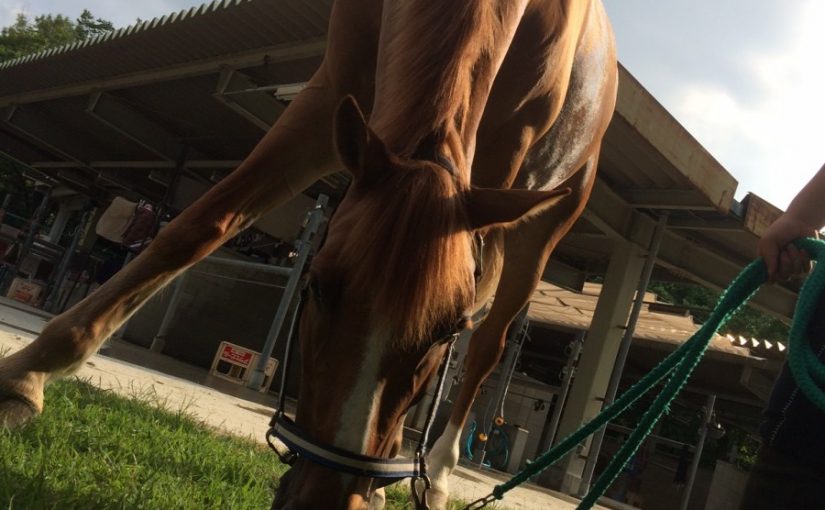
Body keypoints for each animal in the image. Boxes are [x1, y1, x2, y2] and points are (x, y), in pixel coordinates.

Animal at [0, 0, 617, 508]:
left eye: (445, 330)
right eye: (316, 287)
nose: (329, 499)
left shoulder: (495, 167)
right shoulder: (332, 96)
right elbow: (200, 225)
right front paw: (28, 377)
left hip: (541, 227)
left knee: (489, 345)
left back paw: (437, 476)